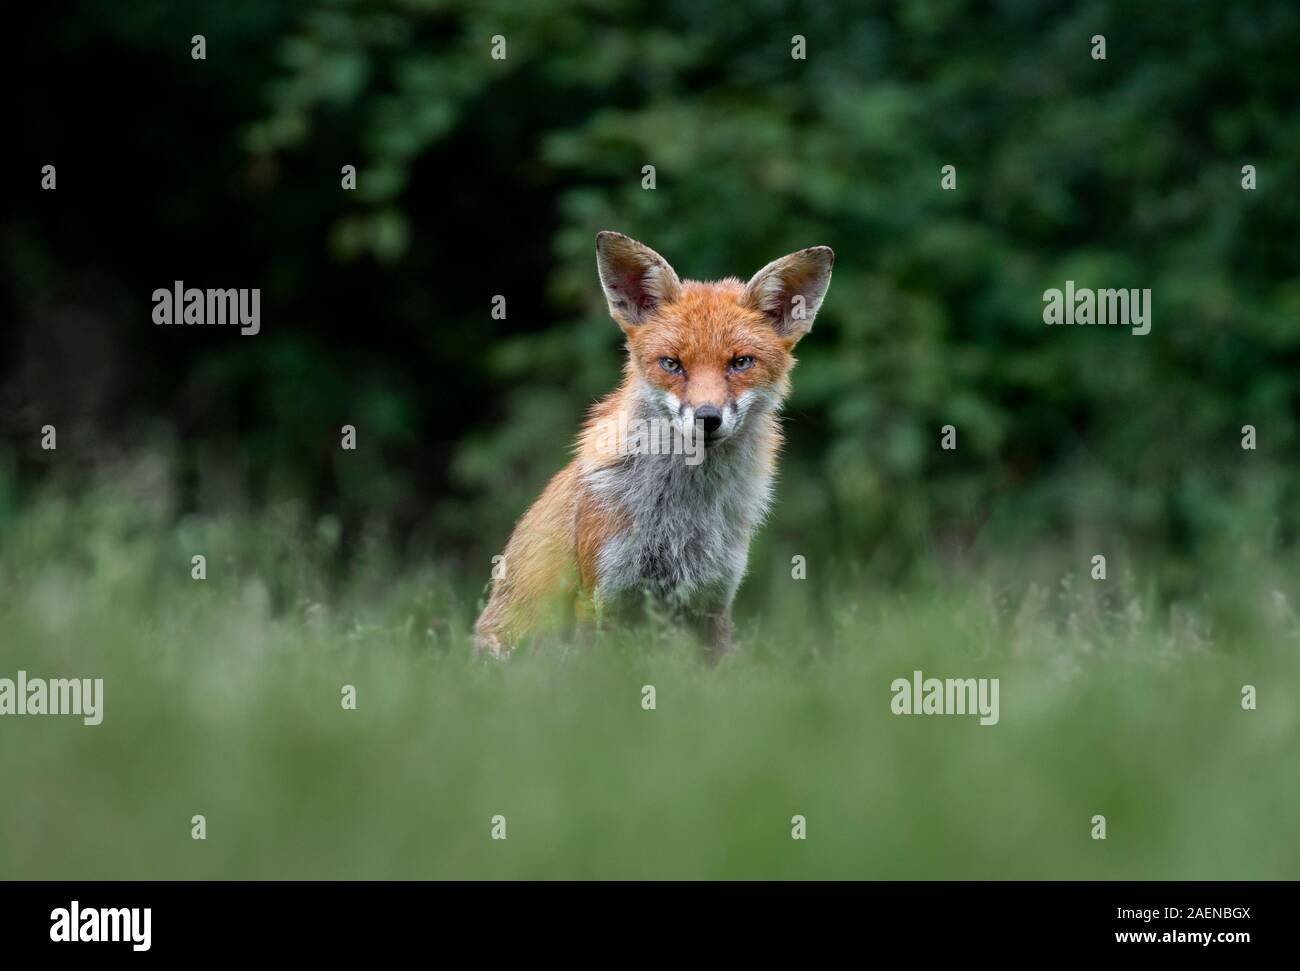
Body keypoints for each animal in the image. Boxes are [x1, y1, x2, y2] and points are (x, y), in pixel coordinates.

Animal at [473, 231, 834, 658]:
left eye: (741, 363)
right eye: (672, 364)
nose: (707, 418)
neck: (682, 516)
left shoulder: (713, 601)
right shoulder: (602, 596)